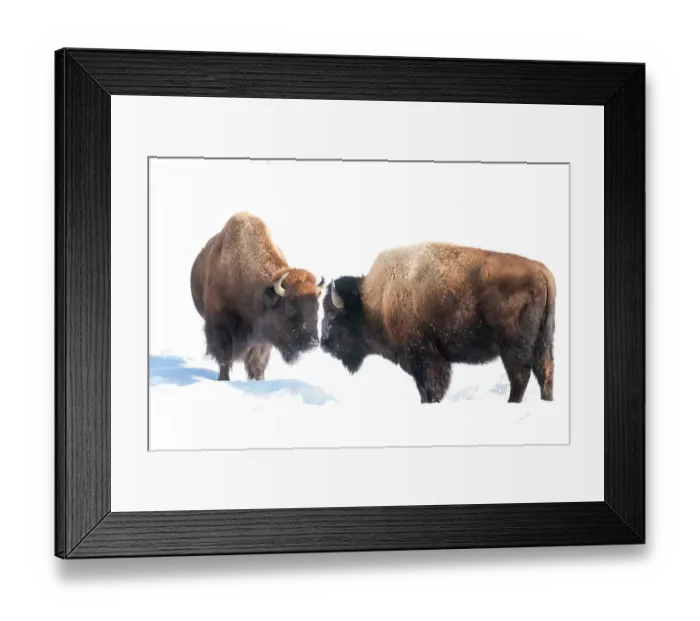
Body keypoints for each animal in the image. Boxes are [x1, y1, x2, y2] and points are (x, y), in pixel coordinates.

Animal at [191, 212, 324, 381]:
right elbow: (224, 358)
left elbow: (257, 362)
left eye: (317, 307)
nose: (311, 343)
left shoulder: (262, 340)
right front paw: (224, 380)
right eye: (290, 307)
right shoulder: (220, 327)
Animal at [320, 243, 555, 404]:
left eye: (334, 315)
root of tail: (541, 271)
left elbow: (430, 388)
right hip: (543, 340)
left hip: (512, 346)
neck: (375, 300)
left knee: (521, 375)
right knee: (544, 371)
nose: (324, 343)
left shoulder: (423, 357)